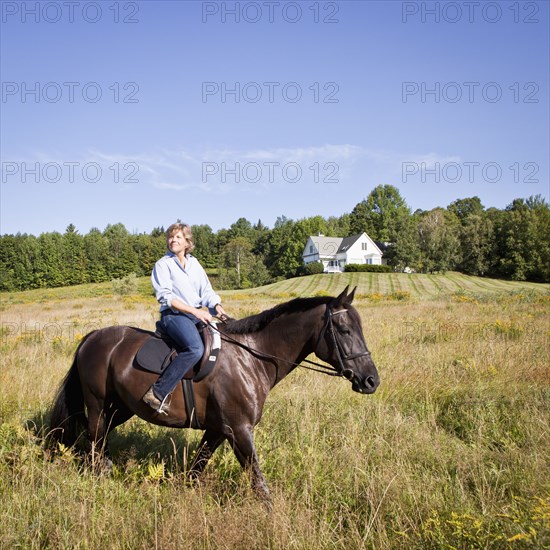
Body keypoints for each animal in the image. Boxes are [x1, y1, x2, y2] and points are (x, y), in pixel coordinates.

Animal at [50, 286, 380, 506]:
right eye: (345, 330)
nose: (371, 380)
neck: (252, 357)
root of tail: (92, 337)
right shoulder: (239, 430)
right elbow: (257, 480)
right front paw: (272, 516)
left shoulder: (218, 430)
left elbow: (197, 468)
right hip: (97, 404)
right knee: (94, 438)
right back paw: (98, 478)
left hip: (120, 408)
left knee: (98, 437)